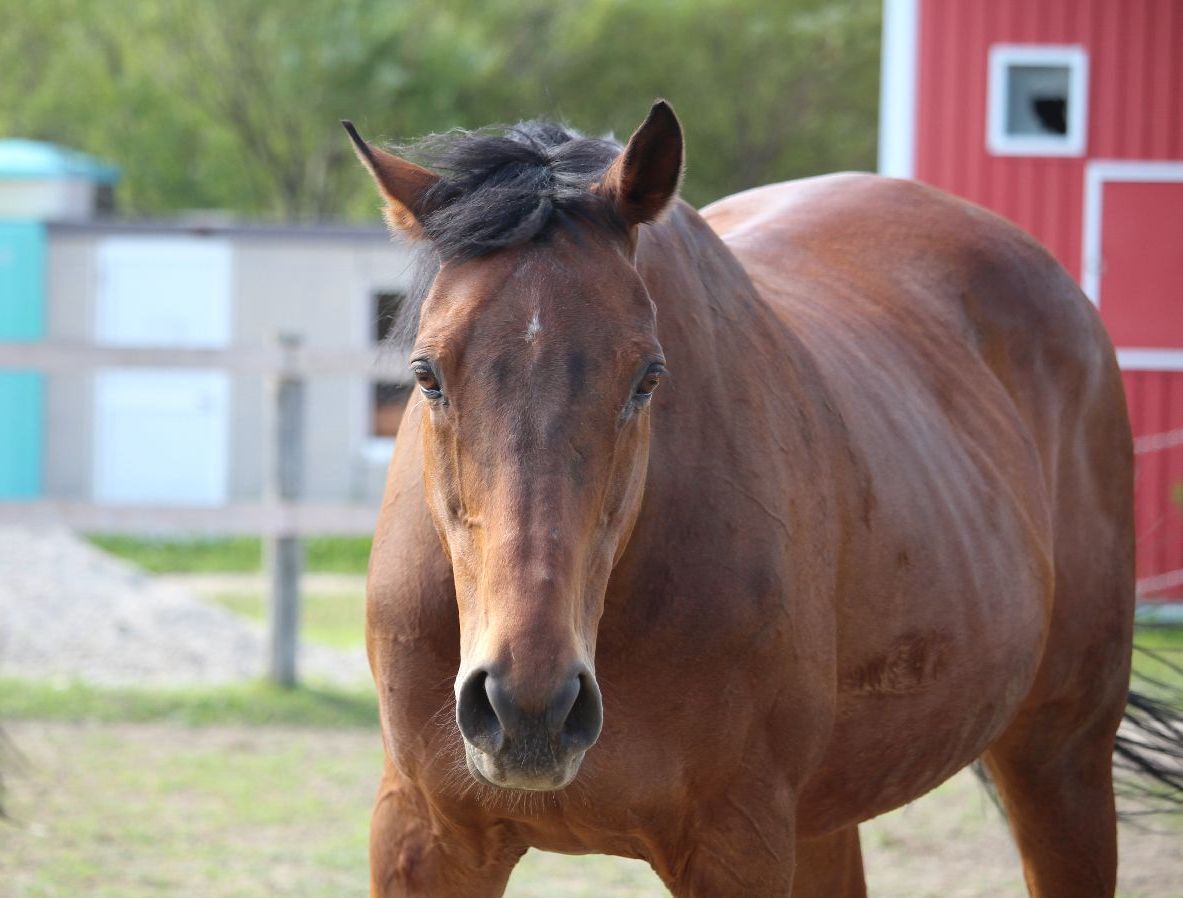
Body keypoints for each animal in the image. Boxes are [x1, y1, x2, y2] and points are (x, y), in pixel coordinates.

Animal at [343, 99, 1173, 898]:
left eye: (647, 377)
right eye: (426, 374)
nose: (529, 708)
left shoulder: (735, 846)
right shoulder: (425, 837)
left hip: (1059, 761)